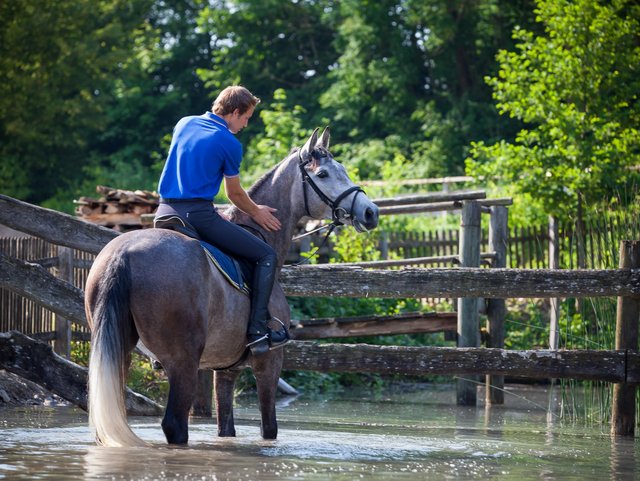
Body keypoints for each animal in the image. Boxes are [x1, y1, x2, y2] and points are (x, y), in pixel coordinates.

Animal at [85, 127, 380, 446]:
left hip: (120, 353)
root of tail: (123, 255)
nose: (370, 212)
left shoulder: (225, 370)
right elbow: (269, 428)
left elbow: (226, 427)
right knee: (175, 424)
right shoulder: (269, 363)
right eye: (323, 174)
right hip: (182, 361)